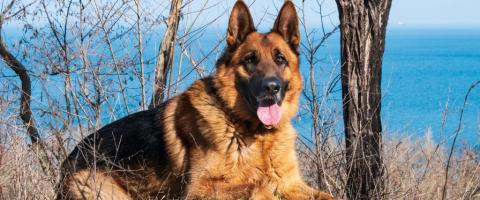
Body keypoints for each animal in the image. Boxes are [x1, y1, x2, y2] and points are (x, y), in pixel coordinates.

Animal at [55, 0, 334, 199]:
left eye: (280, 59)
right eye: (250, 60)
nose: (271, 87)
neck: (255, 134)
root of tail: (65, 165)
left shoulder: (293, 184)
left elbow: (327, 196)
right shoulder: (198, 191)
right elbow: (258, 186)